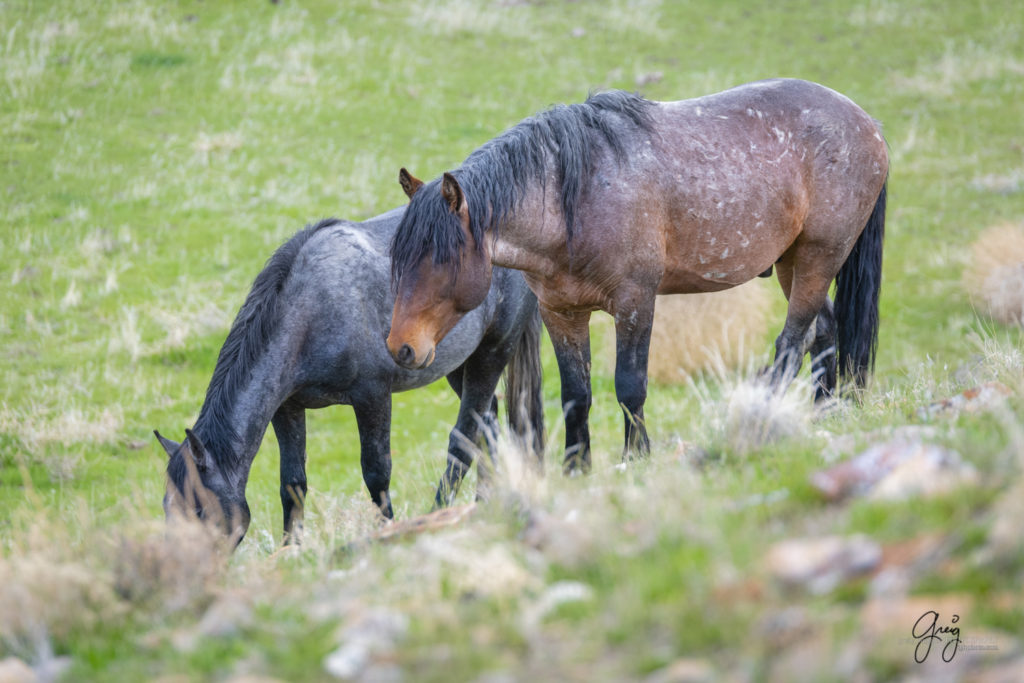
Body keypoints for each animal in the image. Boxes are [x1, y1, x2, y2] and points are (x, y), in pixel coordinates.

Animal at [153, 208, 544, 544]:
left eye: (199, 510)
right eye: (167, 507)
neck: (310, 310)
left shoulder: (372, 396)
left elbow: (377, 473)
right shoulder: (287, 408)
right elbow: (292, 483)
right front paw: (291, 550)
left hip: (491, 355)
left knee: (463, 440)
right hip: (460, 365)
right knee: (487, 425)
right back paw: (484, 507)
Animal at [387, 80, 884, 473]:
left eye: (441, 261)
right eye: (398, 260)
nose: (401, 348)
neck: (576, 198)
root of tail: (869, 125)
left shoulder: (635, 303)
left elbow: (630, 385)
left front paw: (636, 457)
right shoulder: (561, 313)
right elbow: (576, 395)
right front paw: (577, 468)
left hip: (819, 258)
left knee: (792, 343)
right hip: (792, 264)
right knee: (824, 332)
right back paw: (825, 413)